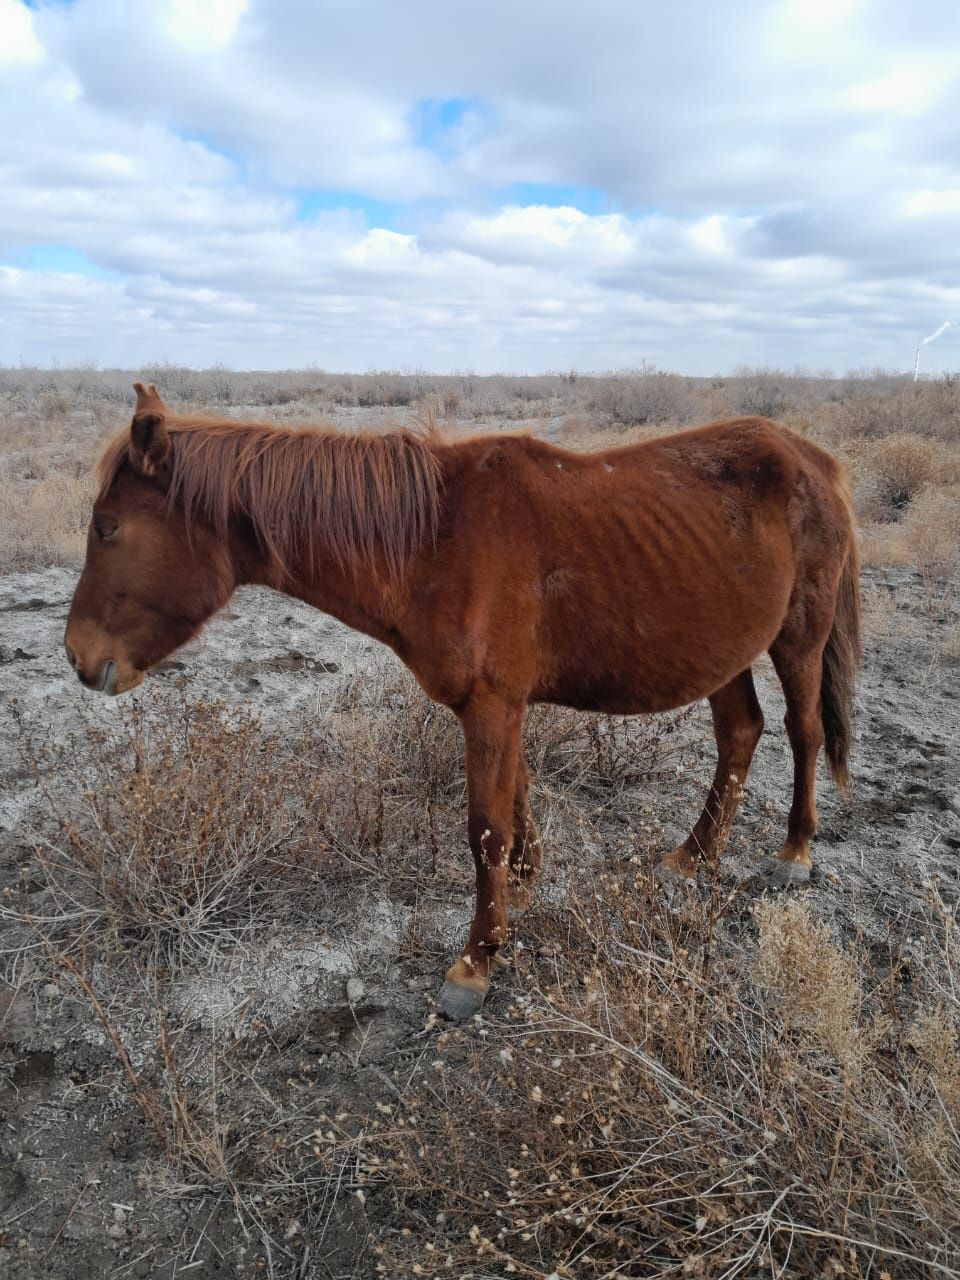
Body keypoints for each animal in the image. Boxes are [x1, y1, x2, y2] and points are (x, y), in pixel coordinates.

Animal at [67, 378, 865, 1018]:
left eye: (108, 528)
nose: (78, 657)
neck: (431, 543)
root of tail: (816, 460)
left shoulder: (491, 705)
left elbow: (485, 827)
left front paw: (475, 965)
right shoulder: (499, 708)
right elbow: (515, 805)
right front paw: (523, 894)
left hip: (799, 635)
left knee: (801, 731)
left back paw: (794, 851)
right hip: (720, 644)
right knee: (740, 732)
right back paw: (694, 856)